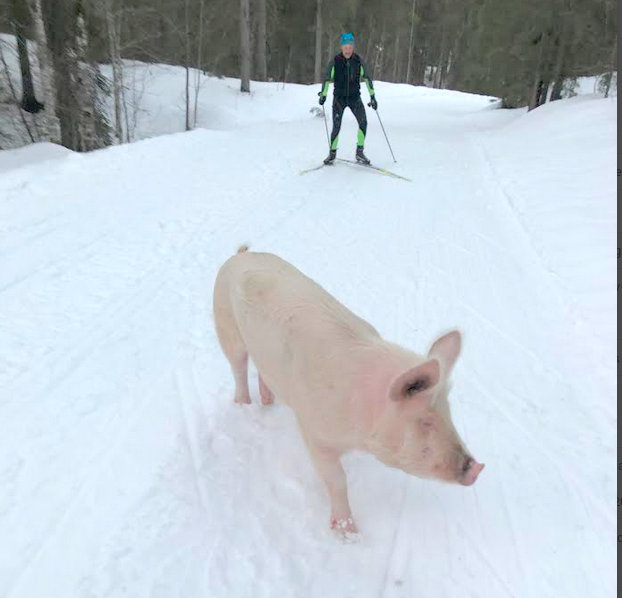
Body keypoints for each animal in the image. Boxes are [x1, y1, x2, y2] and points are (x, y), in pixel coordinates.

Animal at [216, 248, 488, 540]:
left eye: (449, 414)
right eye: (425, 421)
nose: (477, 468)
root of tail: (242, 253)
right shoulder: (314, 432)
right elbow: (337, 479)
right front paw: (348, 535)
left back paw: (268, 402)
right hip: (225, 325)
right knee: (238, 366)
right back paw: (243, 405)